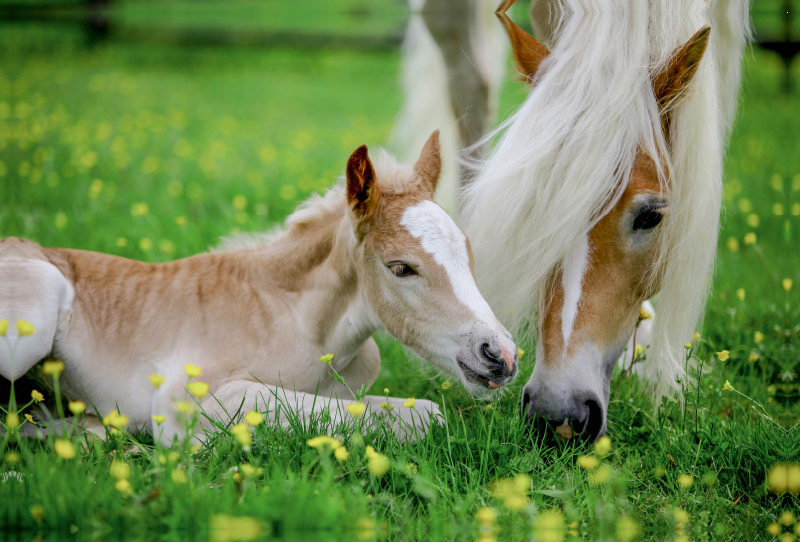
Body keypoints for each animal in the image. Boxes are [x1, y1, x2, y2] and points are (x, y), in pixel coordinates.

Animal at [0, 134, 520, 444]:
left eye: (468, 254)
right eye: (401, 268)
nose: (500, 355)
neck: (301, 324)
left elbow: (417, 412)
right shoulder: (186, 401)